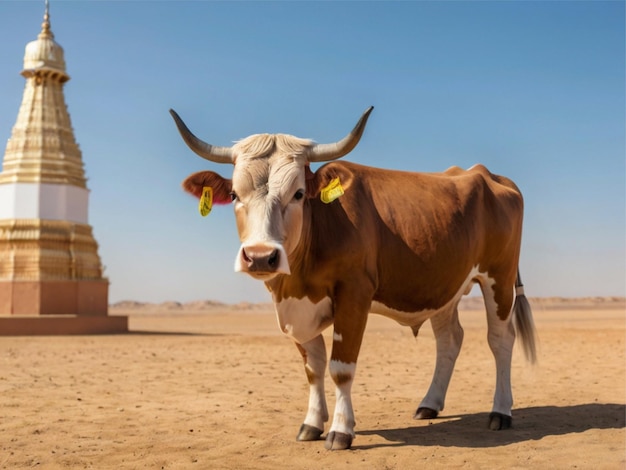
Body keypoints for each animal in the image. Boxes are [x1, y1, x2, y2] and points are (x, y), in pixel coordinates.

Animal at [171, 106, 536, 452]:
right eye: (234, 195)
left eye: (299, 194)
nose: (261, 256)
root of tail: (488, 174)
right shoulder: (294, 307)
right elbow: (314, 368)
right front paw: (312, 423)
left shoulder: (354, 295)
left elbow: (340, 368)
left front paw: (341, 431)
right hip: (443, 285)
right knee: (449, 340)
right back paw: (429, 405)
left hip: (498, 279)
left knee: (500, 340)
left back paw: (500, 412)